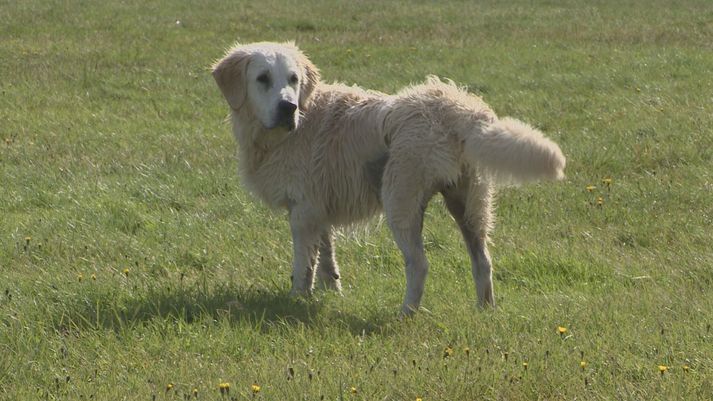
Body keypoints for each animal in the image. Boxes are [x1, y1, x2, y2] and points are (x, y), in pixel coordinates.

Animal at [209, 41, 564, 316]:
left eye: (293, 79)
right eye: (263, 79)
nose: (288, 107)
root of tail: (458, 110)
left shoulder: (303, 213)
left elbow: (303, 265)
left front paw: (297, 299)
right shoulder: (319, 210)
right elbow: (326, 259)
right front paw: (330, 293)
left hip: (401, 202)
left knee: (420, 264)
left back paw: (406, 313)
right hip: (470, 206)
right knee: (483, 260)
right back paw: (484, 311)